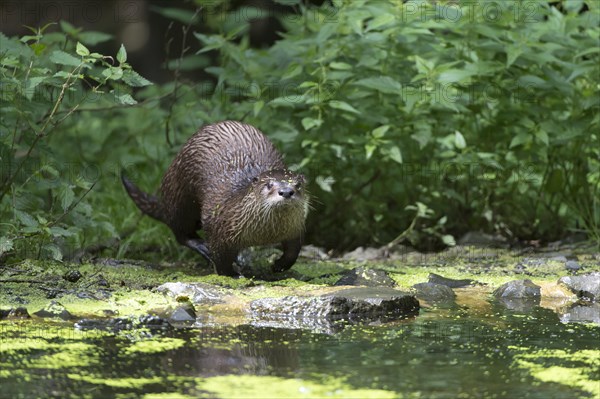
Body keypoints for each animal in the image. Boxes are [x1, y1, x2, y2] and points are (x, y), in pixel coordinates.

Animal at [122, 120, 310, 276]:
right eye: (269, 184)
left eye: (297, 185)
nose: (286, 191)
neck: (264, 235)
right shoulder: (219, 229)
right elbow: (220, 259)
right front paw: (232, 274)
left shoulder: (295, 229)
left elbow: (293, 252)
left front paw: (278, 265)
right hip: (180, 195)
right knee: (181, 232)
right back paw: (202, 247)